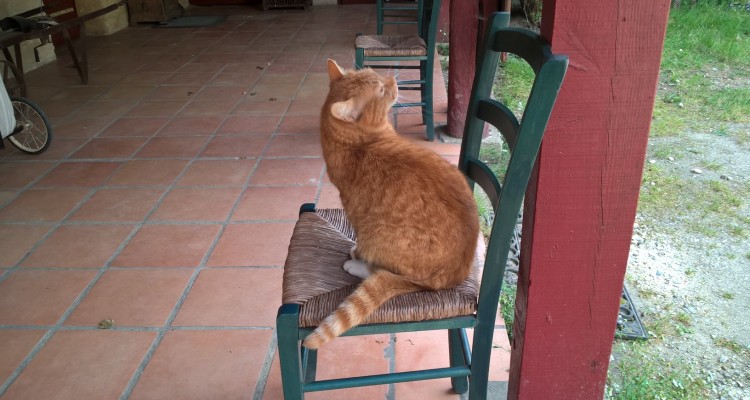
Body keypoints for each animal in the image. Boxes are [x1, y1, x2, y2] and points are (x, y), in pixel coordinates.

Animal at [306, 60, 482, 350]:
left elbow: (361, 247)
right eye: (379, 88)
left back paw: (355, 265)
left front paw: (356, 255)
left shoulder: (357, 215)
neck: (359, 142)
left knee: (377, 268)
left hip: (377, 234)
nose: (392, 81)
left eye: (377, 75)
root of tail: (448, 280)